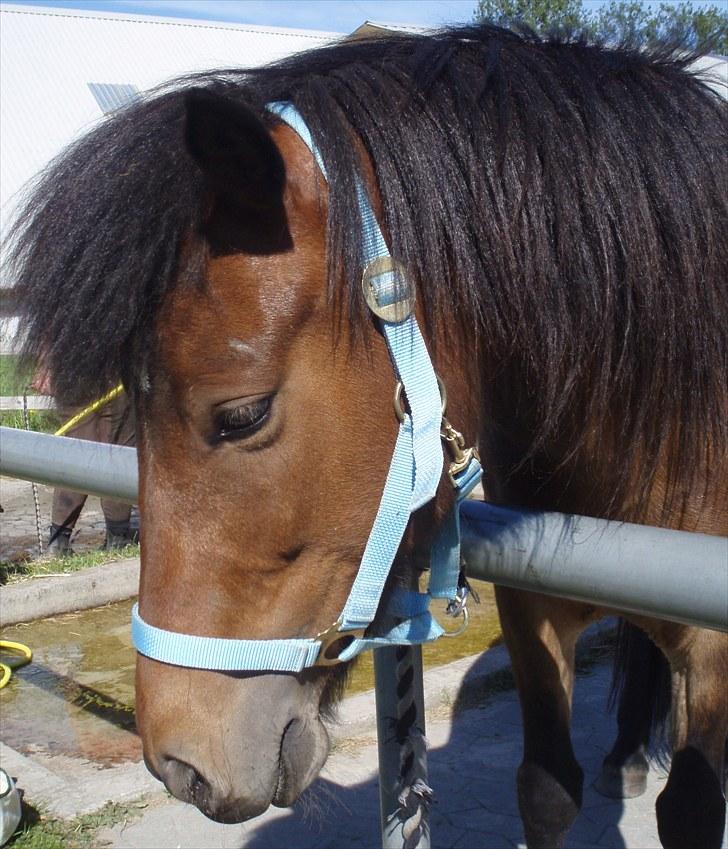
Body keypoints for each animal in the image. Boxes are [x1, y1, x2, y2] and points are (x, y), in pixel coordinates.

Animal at [7, 24, 727, 849]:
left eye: (242, 415)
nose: (180, 765)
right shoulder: (533, 614)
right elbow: (547, 789)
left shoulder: (715, 651)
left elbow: (693, 807)